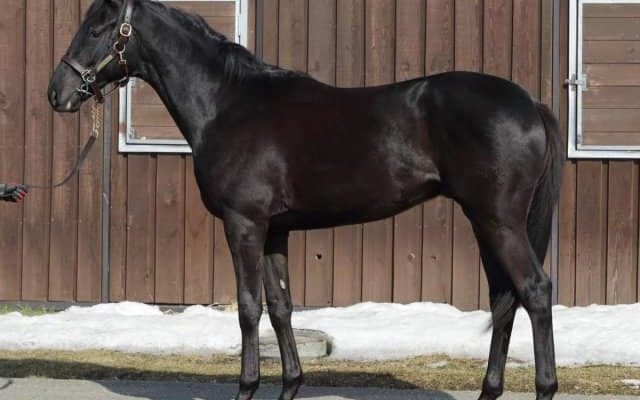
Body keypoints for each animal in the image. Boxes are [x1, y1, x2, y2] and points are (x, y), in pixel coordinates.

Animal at [47, 1, 563, 399]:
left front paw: (247, 387)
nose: (58, 93)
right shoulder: (276, 229)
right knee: (504, 297)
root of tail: (531, 104)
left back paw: (546, 385)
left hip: (499, 222)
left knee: (534, 291)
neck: (228, 104)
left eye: (97, 28)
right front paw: (290, 384)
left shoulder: (244, 225)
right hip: (485, 222)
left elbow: (249, 308)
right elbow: (281, 308)